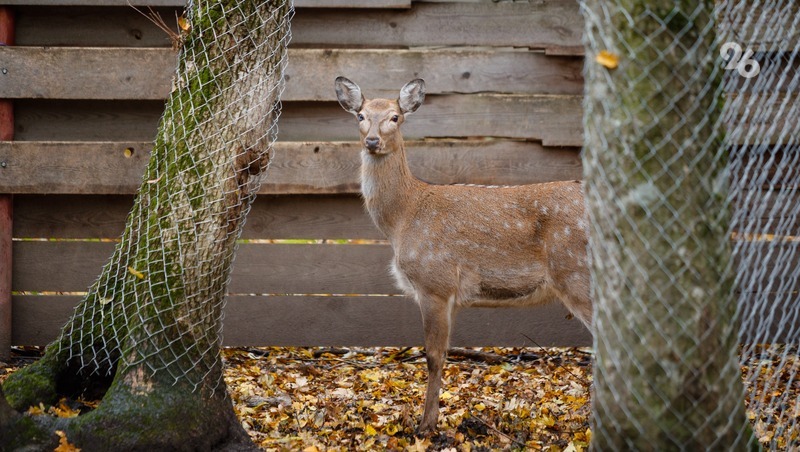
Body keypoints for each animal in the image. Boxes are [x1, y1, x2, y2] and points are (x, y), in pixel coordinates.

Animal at [332, 77, 592, 434]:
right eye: (360, 115)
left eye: (395, 117)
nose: (372, 140)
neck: (403, 218)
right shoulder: (451, 295)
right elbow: (444, 353)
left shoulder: (434, 282)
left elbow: (433, 356)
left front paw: (426, 425)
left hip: (577, 273)